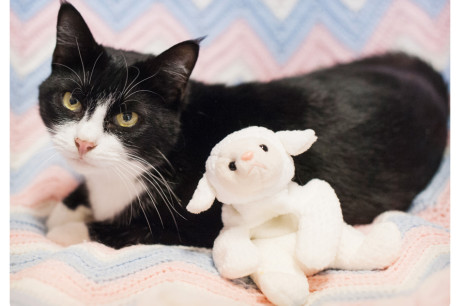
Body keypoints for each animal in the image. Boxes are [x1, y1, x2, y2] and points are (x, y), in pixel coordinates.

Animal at [39, 2, 446, 249]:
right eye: (71, 100)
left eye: (128, 118)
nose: (83, 143)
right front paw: (64, 209)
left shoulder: (203, 224)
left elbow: (124, 230)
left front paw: (68, 230)